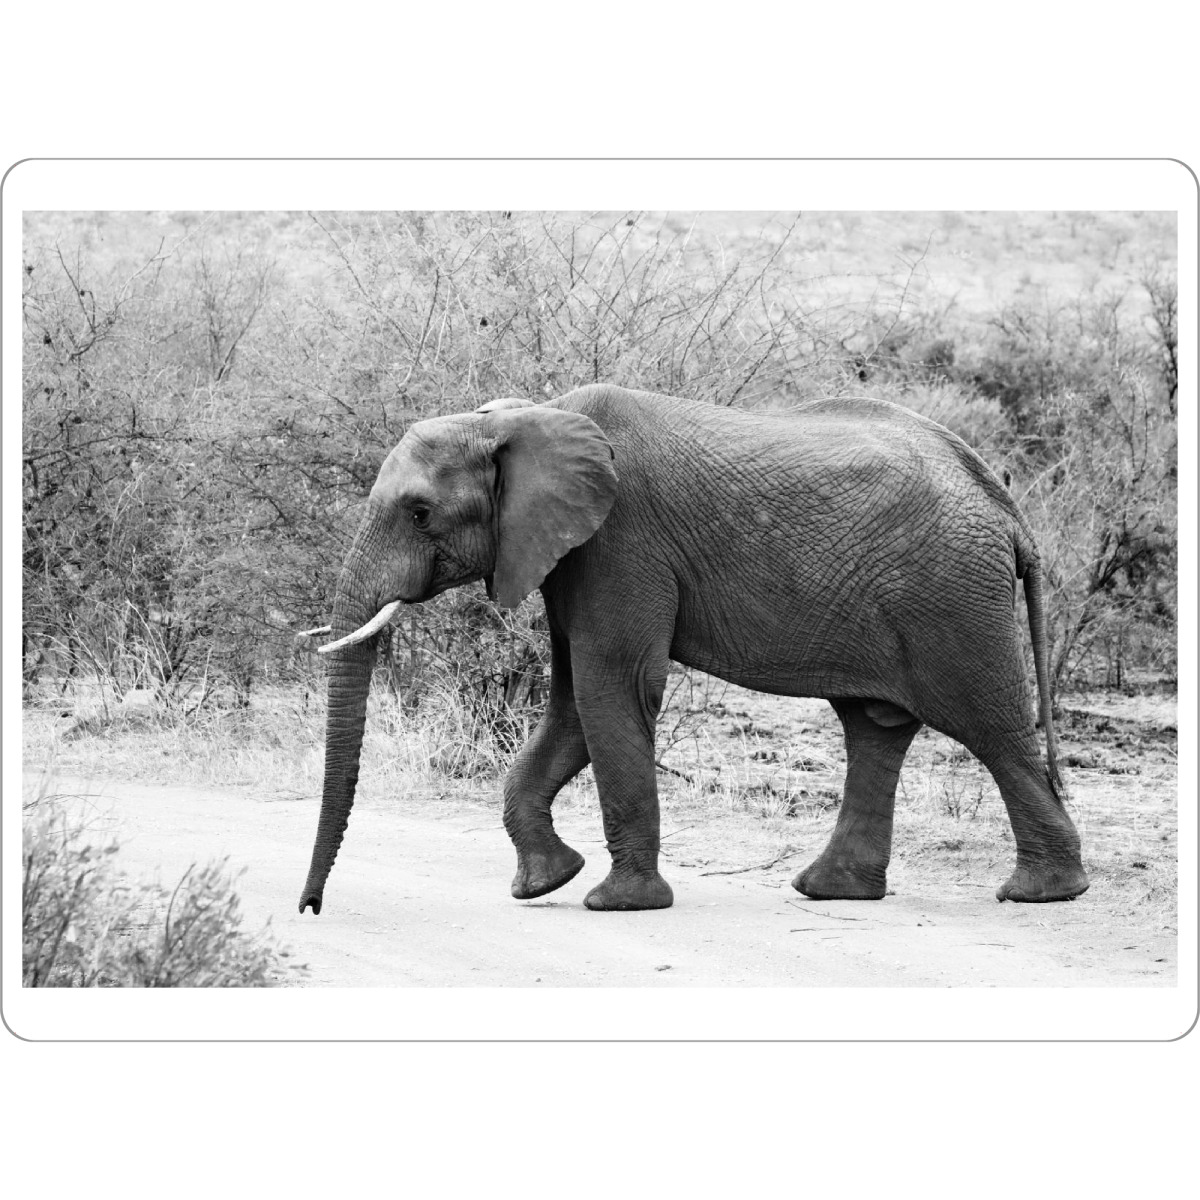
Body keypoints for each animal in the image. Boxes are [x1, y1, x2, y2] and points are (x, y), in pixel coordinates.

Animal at [299, 384, 1088, 915]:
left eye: (420, 513)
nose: (310, 909)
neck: (520, 418)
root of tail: (1007, 507)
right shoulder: (570, 553)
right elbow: (575, 705)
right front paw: (544, 883)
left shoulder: (621, 541)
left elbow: (613, 688)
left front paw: (617, 903)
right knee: (875, 728)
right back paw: (830, 891)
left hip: (953, 598)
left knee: (991, 728)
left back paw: (1041, 894)